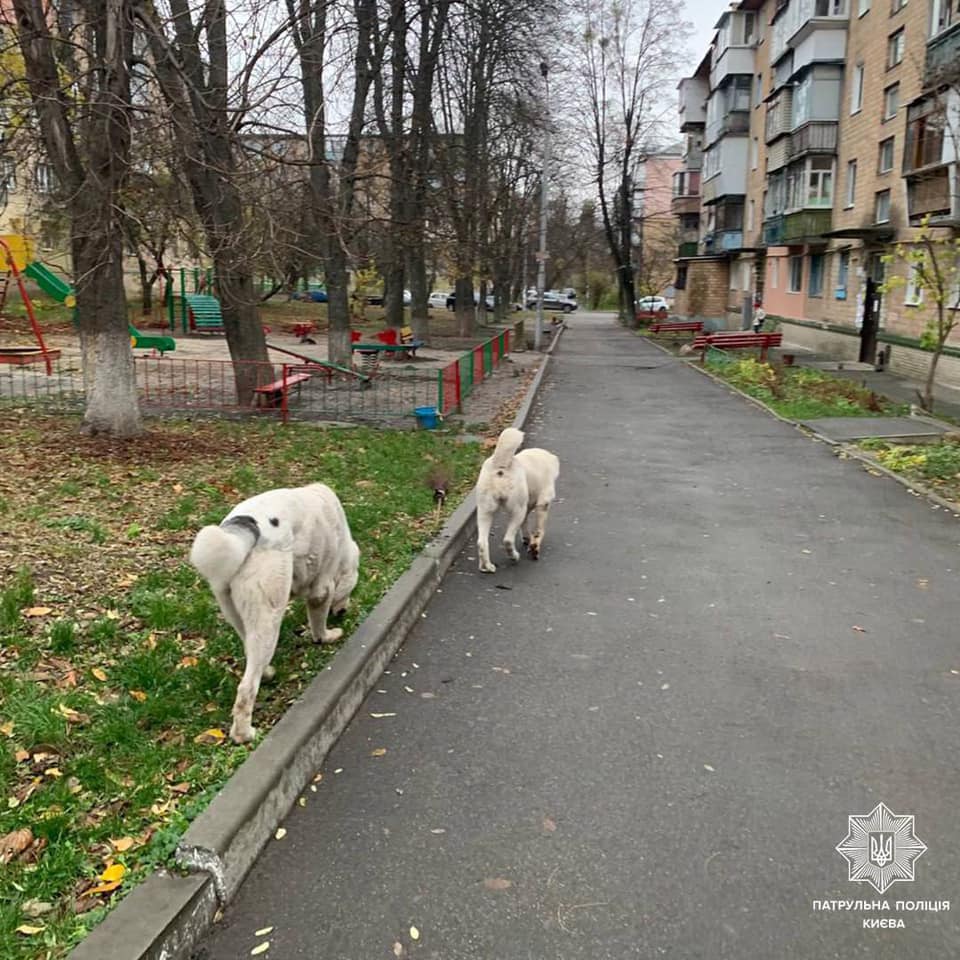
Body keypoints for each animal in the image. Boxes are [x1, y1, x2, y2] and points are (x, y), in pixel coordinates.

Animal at [190, 484, 360, 748]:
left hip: (236, 611)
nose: (343, 611)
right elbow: (319, 623)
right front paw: (327, 636)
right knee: (246, 689)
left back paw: (267, 672)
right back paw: (245, 734)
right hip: (268, 614)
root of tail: (245, 532)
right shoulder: (322, 588)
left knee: (251, 653)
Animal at [474, 426, 560, 572]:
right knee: (507, 540)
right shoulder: (543, 504)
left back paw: (486, 566)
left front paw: (527, 539)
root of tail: (500, 465)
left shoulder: (527, 507)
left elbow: (525, 525)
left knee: (481, 542)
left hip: (485, 512)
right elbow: (539, 530)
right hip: (517, 511)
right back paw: (514, 556)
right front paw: (534, 547)